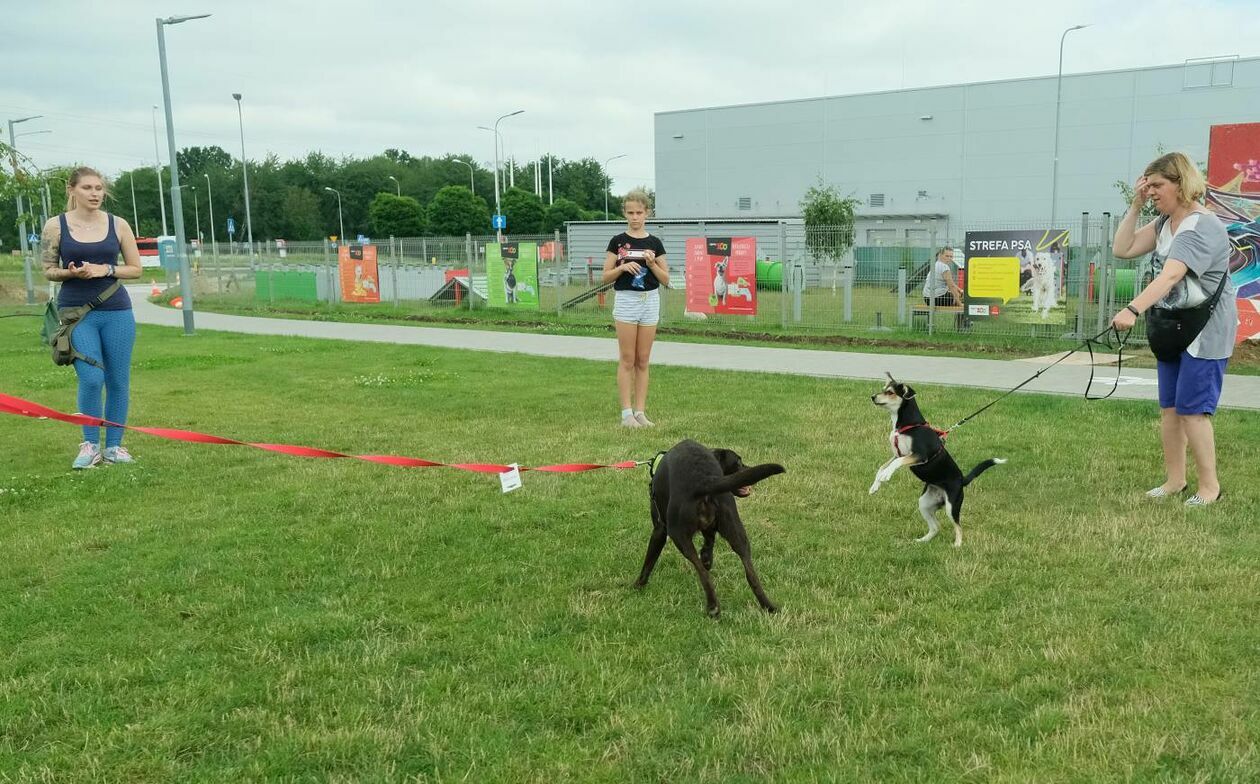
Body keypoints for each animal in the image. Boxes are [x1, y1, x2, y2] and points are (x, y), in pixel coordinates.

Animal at [635, 443, 781, 620]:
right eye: (738, 462)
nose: (748, 468)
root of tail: (704, 479)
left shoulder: (659, 530)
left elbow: (649, 561)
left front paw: (638, 585)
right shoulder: (709, 527)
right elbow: (709, 542)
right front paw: (706, 558)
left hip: (678, 535)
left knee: (703, 574)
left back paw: (713, 607)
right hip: (737, 532)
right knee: (750, 573)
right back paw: (768, 606)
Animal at [866, 373, 1002, 547]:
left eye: (890, 392)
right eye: (884, 389)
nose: (873, 397)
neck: (909, 425)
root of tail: (962, 480)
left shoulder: (918, 455)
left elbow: (893, 465)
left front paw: (886, 476)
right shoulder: (898, 454)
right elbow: (882, 467)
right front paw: (875, 486)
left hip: (952, 505)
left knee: (958, 527)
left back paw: (957, 545)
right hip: (925, 503)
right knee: (936, 527)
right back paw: (922, 541)